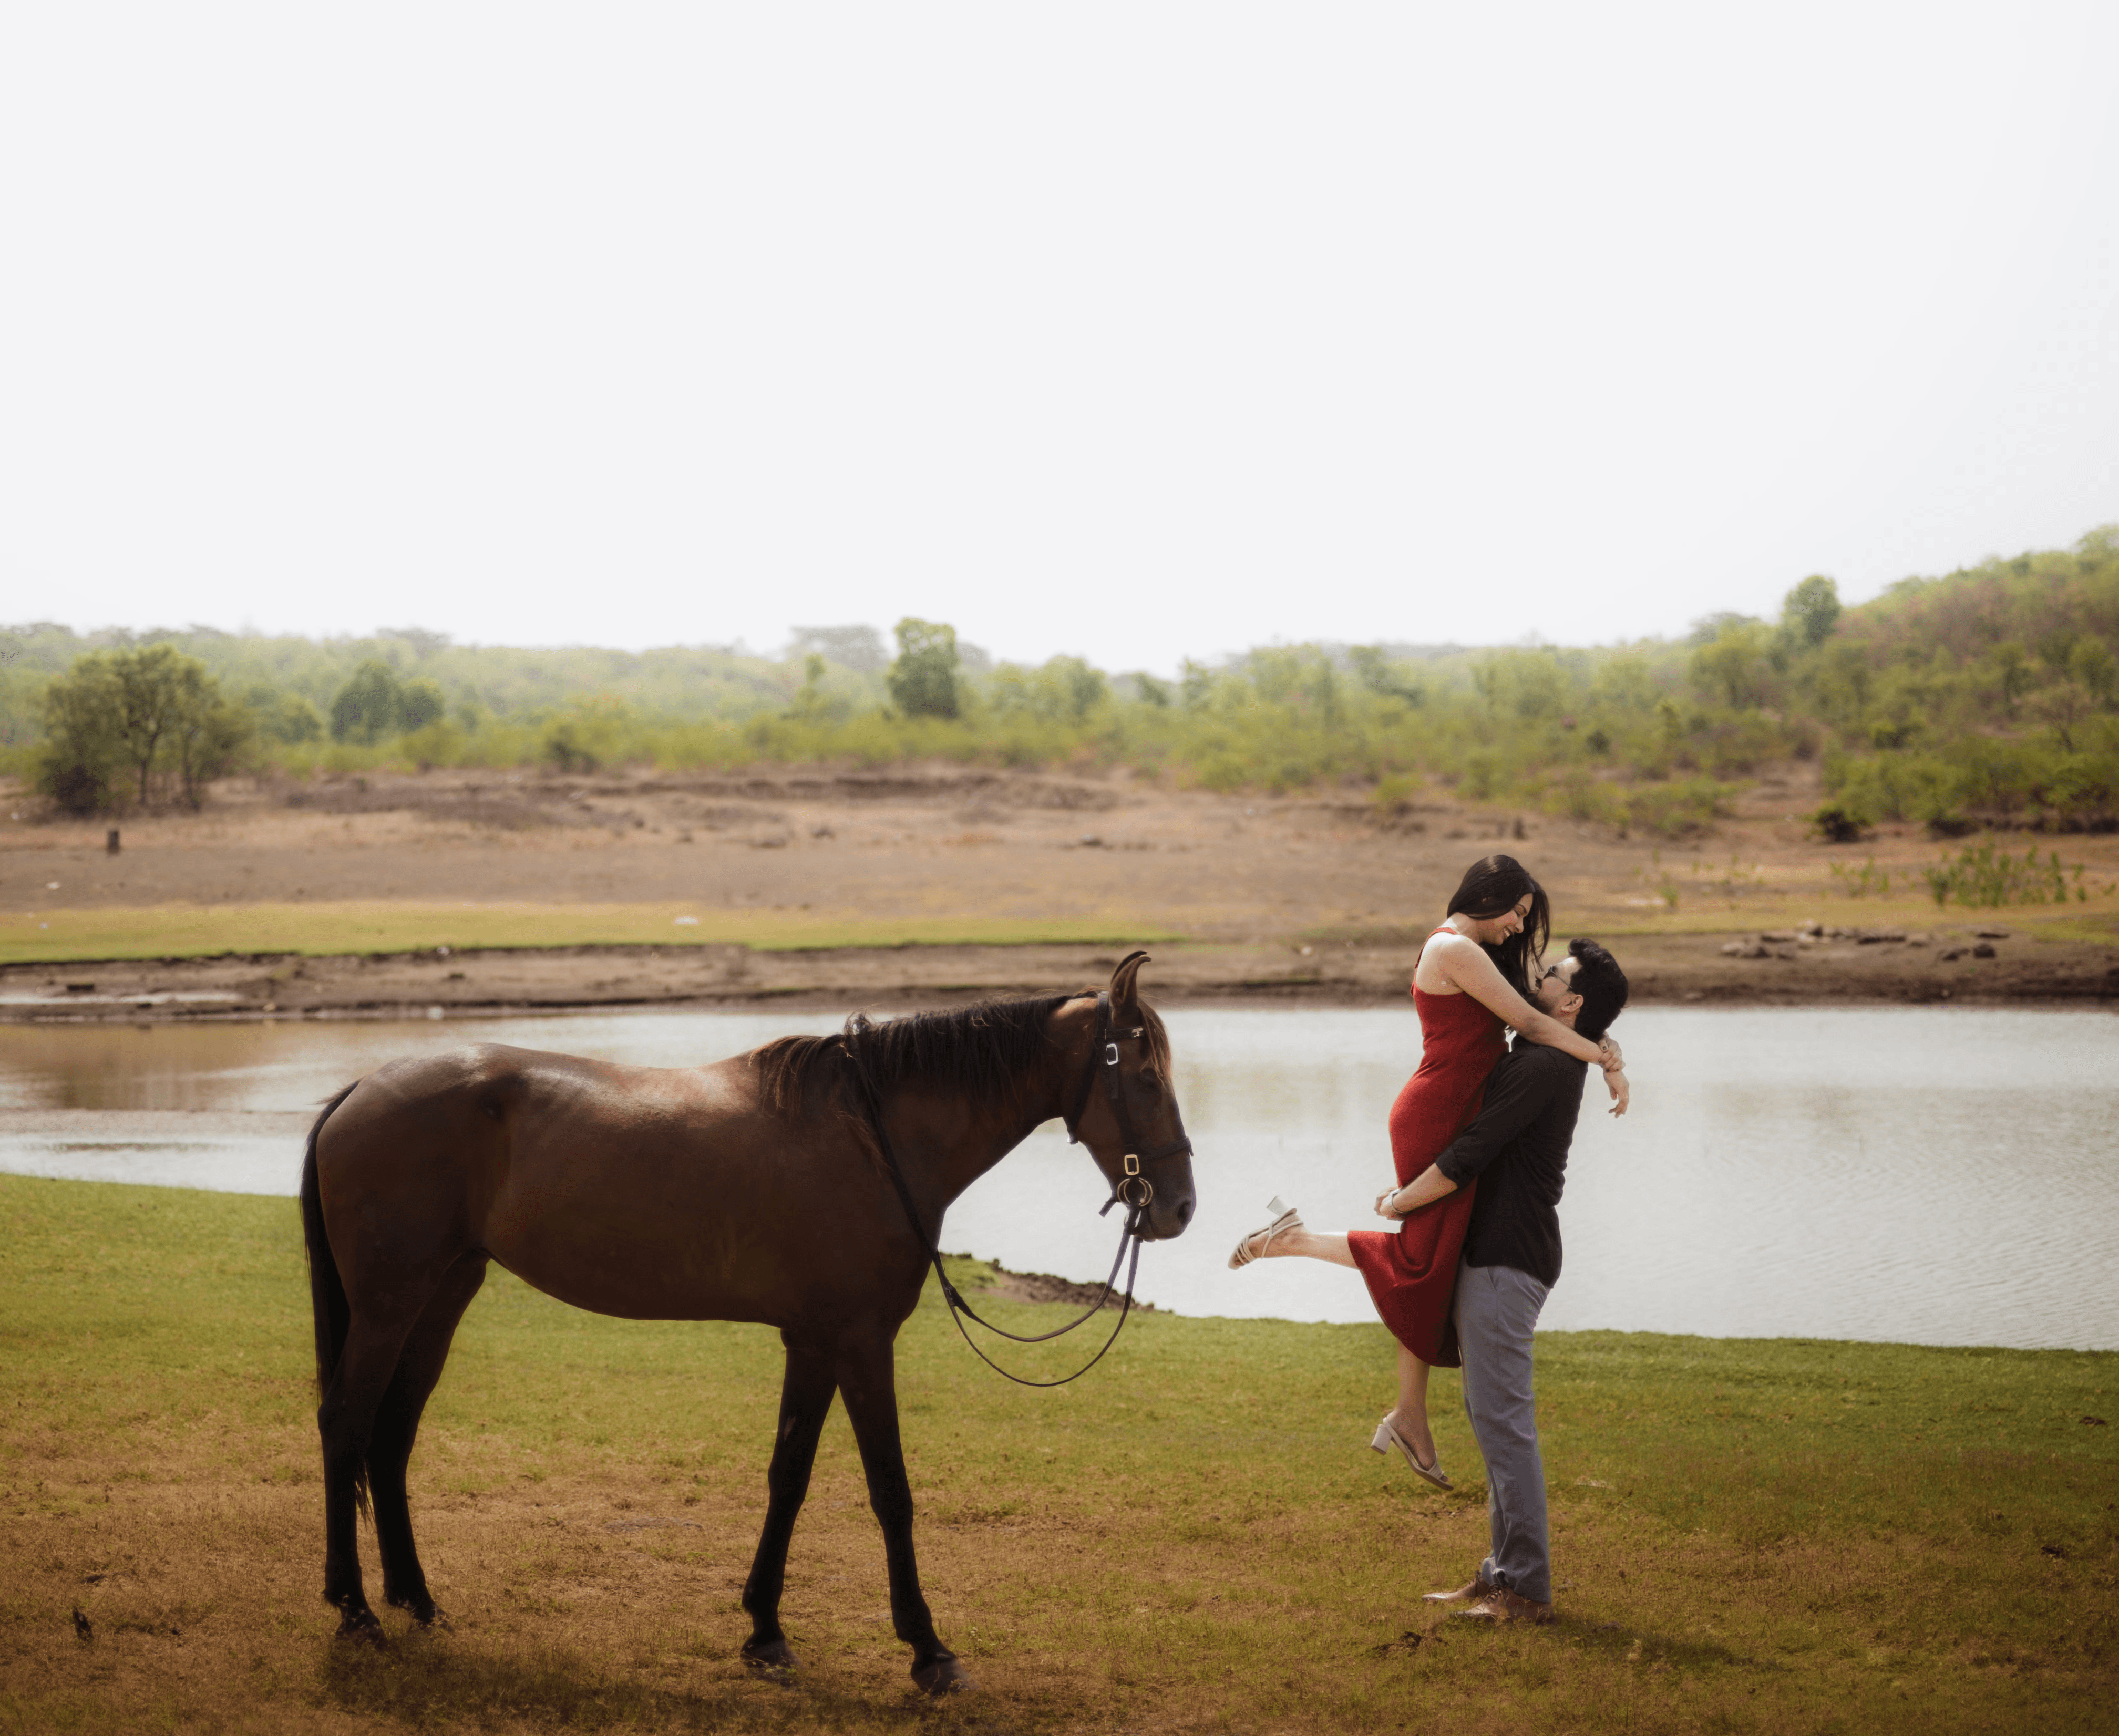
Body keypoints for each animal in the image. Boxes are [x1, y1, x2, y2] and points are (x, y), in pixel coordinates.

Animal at [298, 951, 1196, 1693]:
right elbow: (890, 1490)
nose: (1180, 1208)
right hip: (388, 1305)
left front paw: (765, 1632)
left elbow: (788, 1478)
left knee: (391, 1435)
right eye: (1146, 1076)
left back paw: (416, 1599)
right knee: (347, 1424)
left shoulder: (816, 1343)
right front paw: (928, 1650)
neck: (873, 1138)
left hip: (440, 1297)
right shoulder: (862, 1344)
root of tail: (359, 1093)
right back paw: (355, 1609)